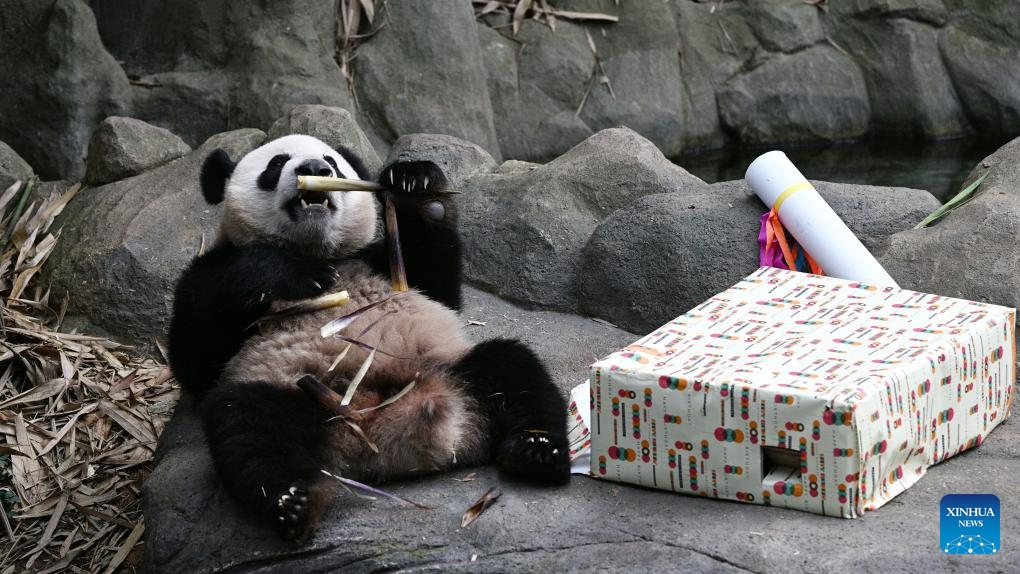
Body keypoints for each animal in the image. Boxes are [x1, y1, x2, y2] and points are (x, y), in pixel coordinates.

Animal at [168, 134, 569, 542]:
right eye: (276, 163)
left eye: (332, 162)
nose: (314, 169)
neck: (318, 251)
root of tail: (386, 444)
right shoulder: (210, 273)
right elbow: (194, 357)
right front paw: (295, 275)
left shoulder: (376, 262)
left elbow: (437, 285)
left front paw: (416, 184)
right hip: (293, 391)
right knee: (247, 424)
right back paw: (296, 502)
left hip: (449, 367)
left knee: (513, 368)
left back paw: (536, 451)